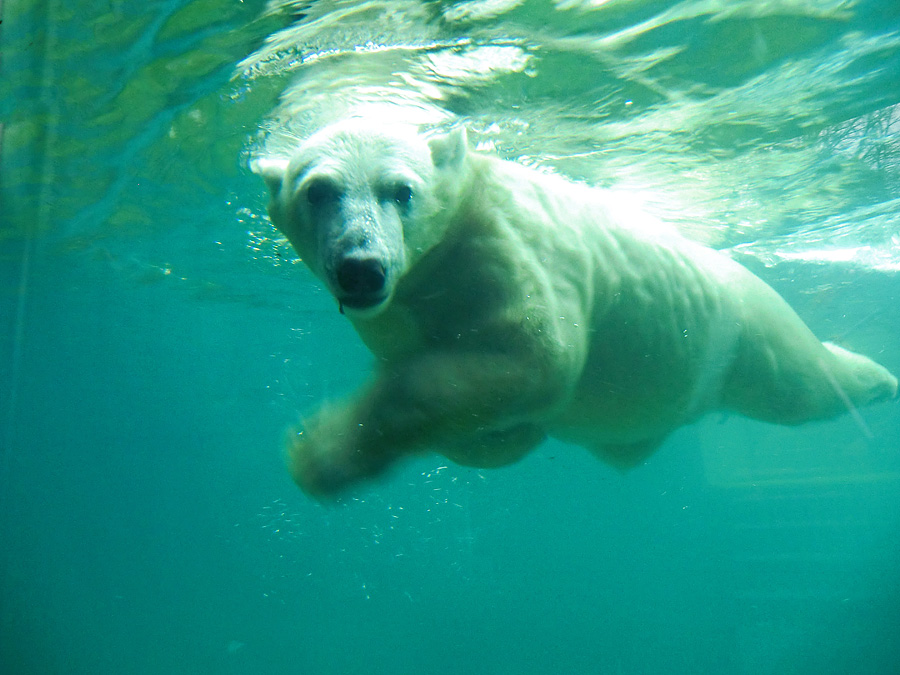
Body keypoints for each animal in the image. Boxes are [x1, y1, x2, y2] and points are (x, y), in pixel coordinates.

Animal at [256, 119, 896, 496]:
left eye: (401, 190)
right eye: (317, 190)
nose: (362, 266)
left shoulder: (502, 247)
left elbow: (539, 353)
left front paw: (319, 452)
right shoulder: (396, 317)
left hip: (744, 326)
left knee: (803, 383)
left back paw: (880, 377)